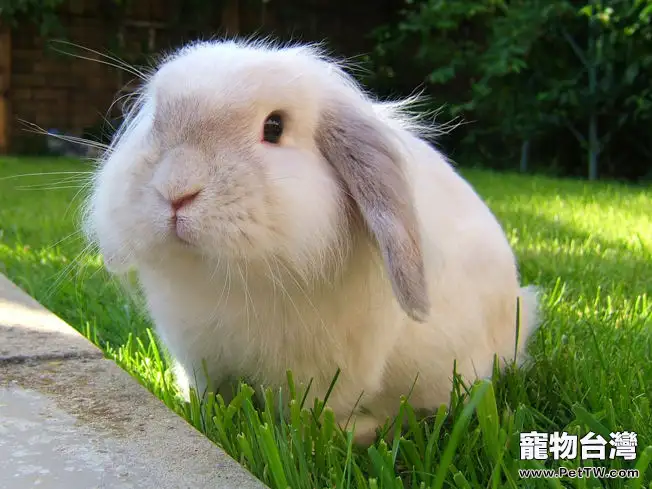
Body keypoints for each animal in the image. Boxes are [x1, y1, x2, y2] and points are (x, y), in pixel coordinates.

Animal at [85, 40, 540, 444]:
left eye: (274, 127)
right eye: (157, 123)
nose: (177, 192)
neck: (230, 278)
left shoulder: (327, 372)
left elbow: (314, 415)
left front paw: (341, 434)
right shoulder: (199, 355)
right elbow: (209, 393)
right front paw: (199, 411)